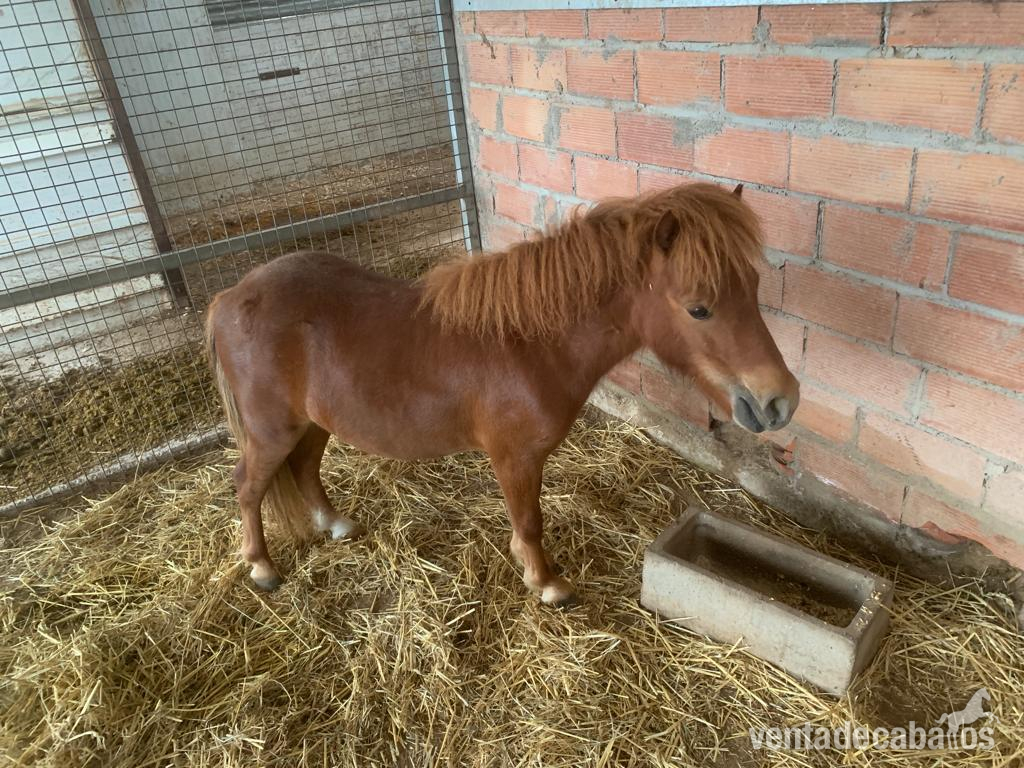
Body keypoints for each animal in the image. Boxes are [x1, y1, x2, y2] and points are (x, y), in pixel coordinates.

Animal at [205, 182, 800, 606]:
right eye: (699, 308)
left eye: (753, 287)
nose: (780, 400)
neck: (526, 342)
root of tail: (230, 296)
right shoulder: (515, 458)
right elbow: (530, 522)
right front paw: (548, 584)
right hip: (271, 432)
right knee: (247, 487)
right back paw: (261, 567)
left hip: (311, 424)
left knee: (304, 469)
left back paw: (335, 525)